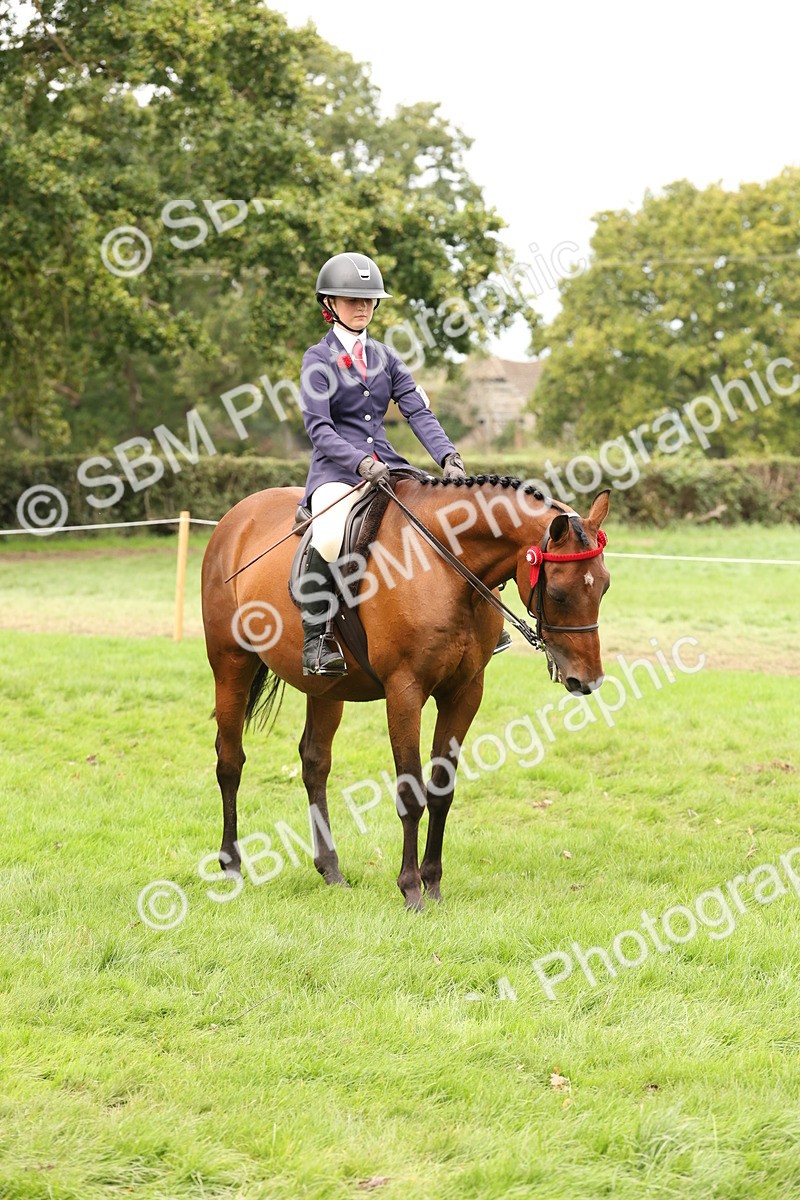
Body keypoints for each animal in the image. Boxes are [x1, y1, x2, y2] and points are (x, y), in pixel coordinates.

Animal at [200, 474, 611, 910]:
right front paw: (411, 889)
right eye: (560, 594)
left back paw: (331, 870)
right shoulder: (405, 690)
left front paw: (433, 884)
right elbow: (411, 790)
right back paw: (231, 866)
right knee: (230, 761)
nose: (586, 681)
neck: (445, 567)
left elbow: (442, 789)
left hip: (325, 687)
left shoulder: (465, 692)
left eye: (604, 587)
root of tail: (237, 516)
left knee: (314, 763)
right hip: (231, 664)